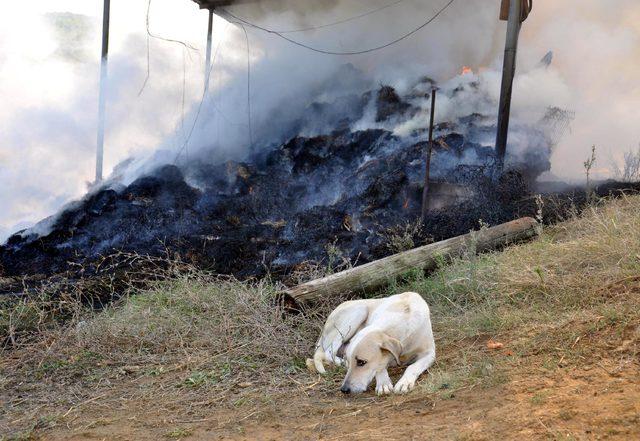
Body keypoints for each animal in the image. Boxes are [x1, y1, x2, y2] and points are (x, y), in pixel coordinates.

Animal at [308, 292, 438, 392]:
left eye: (361, 362)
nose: (344, 390)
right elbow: (379, 366)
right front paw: (383, 382)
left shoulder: (429, 353)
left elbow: (413, 367)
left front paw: (404, 382)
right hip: (359, 311)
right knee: (328, 352)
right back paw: (341, 362)